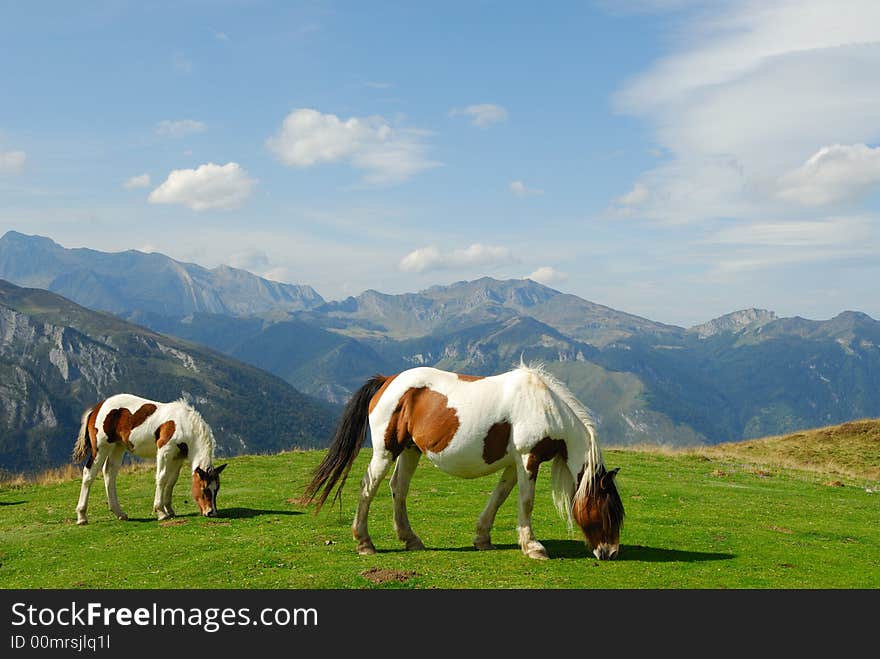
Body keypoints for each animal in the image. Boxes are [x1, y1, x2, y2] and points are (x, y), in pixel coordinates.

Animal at [72, 392, 227, 524]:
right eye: (204, 488)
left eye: (216, 489)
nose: (211, 512)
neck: (183, 424)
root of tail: (96, 409)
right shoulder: (164, 451)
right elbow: (162, 478)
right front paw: (161, 512)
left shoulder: (177, 458)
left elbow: (171, 481)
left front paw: (169, 509)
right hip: (101, 448)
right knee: (88, 474)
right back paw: (82, 516)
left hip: (118, 447)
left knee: (109, 474)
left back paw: (119, 513)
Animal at [302, 364, 624, 560]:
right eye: (607, 512)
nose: (610, 552)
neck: (543, 405)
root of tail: (388, 381)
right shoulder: (527, 458)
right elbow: (526, 501)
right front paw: (533, 547)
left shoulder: (513, 463)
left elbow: (499, 496)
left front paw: (482, 538)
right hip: (386, 450)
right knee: (368, 487)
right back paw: (365, 543)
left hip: (410, 450)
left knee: (398, 489)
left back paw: (410, 539)